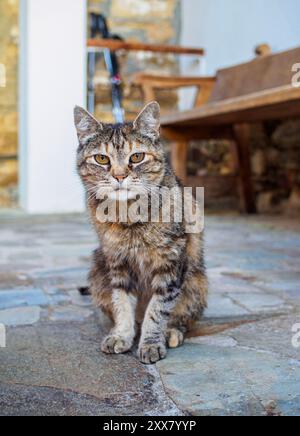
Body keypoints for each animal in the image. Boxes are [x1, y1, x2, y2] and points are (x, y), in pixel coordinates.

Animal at [74, 102, 207, 364]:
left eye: (136, 157)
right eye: (101, 158)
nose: (119, 176)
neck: (127, 216)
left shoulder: (170, 266)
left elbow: (157, 311)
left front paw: (151, 342)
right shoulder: (117, 264)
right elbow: (122, 303)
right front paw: (121, 335)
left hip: (197, 281)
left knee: (183, 317)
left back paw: (171, 332)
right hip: (97, 269)